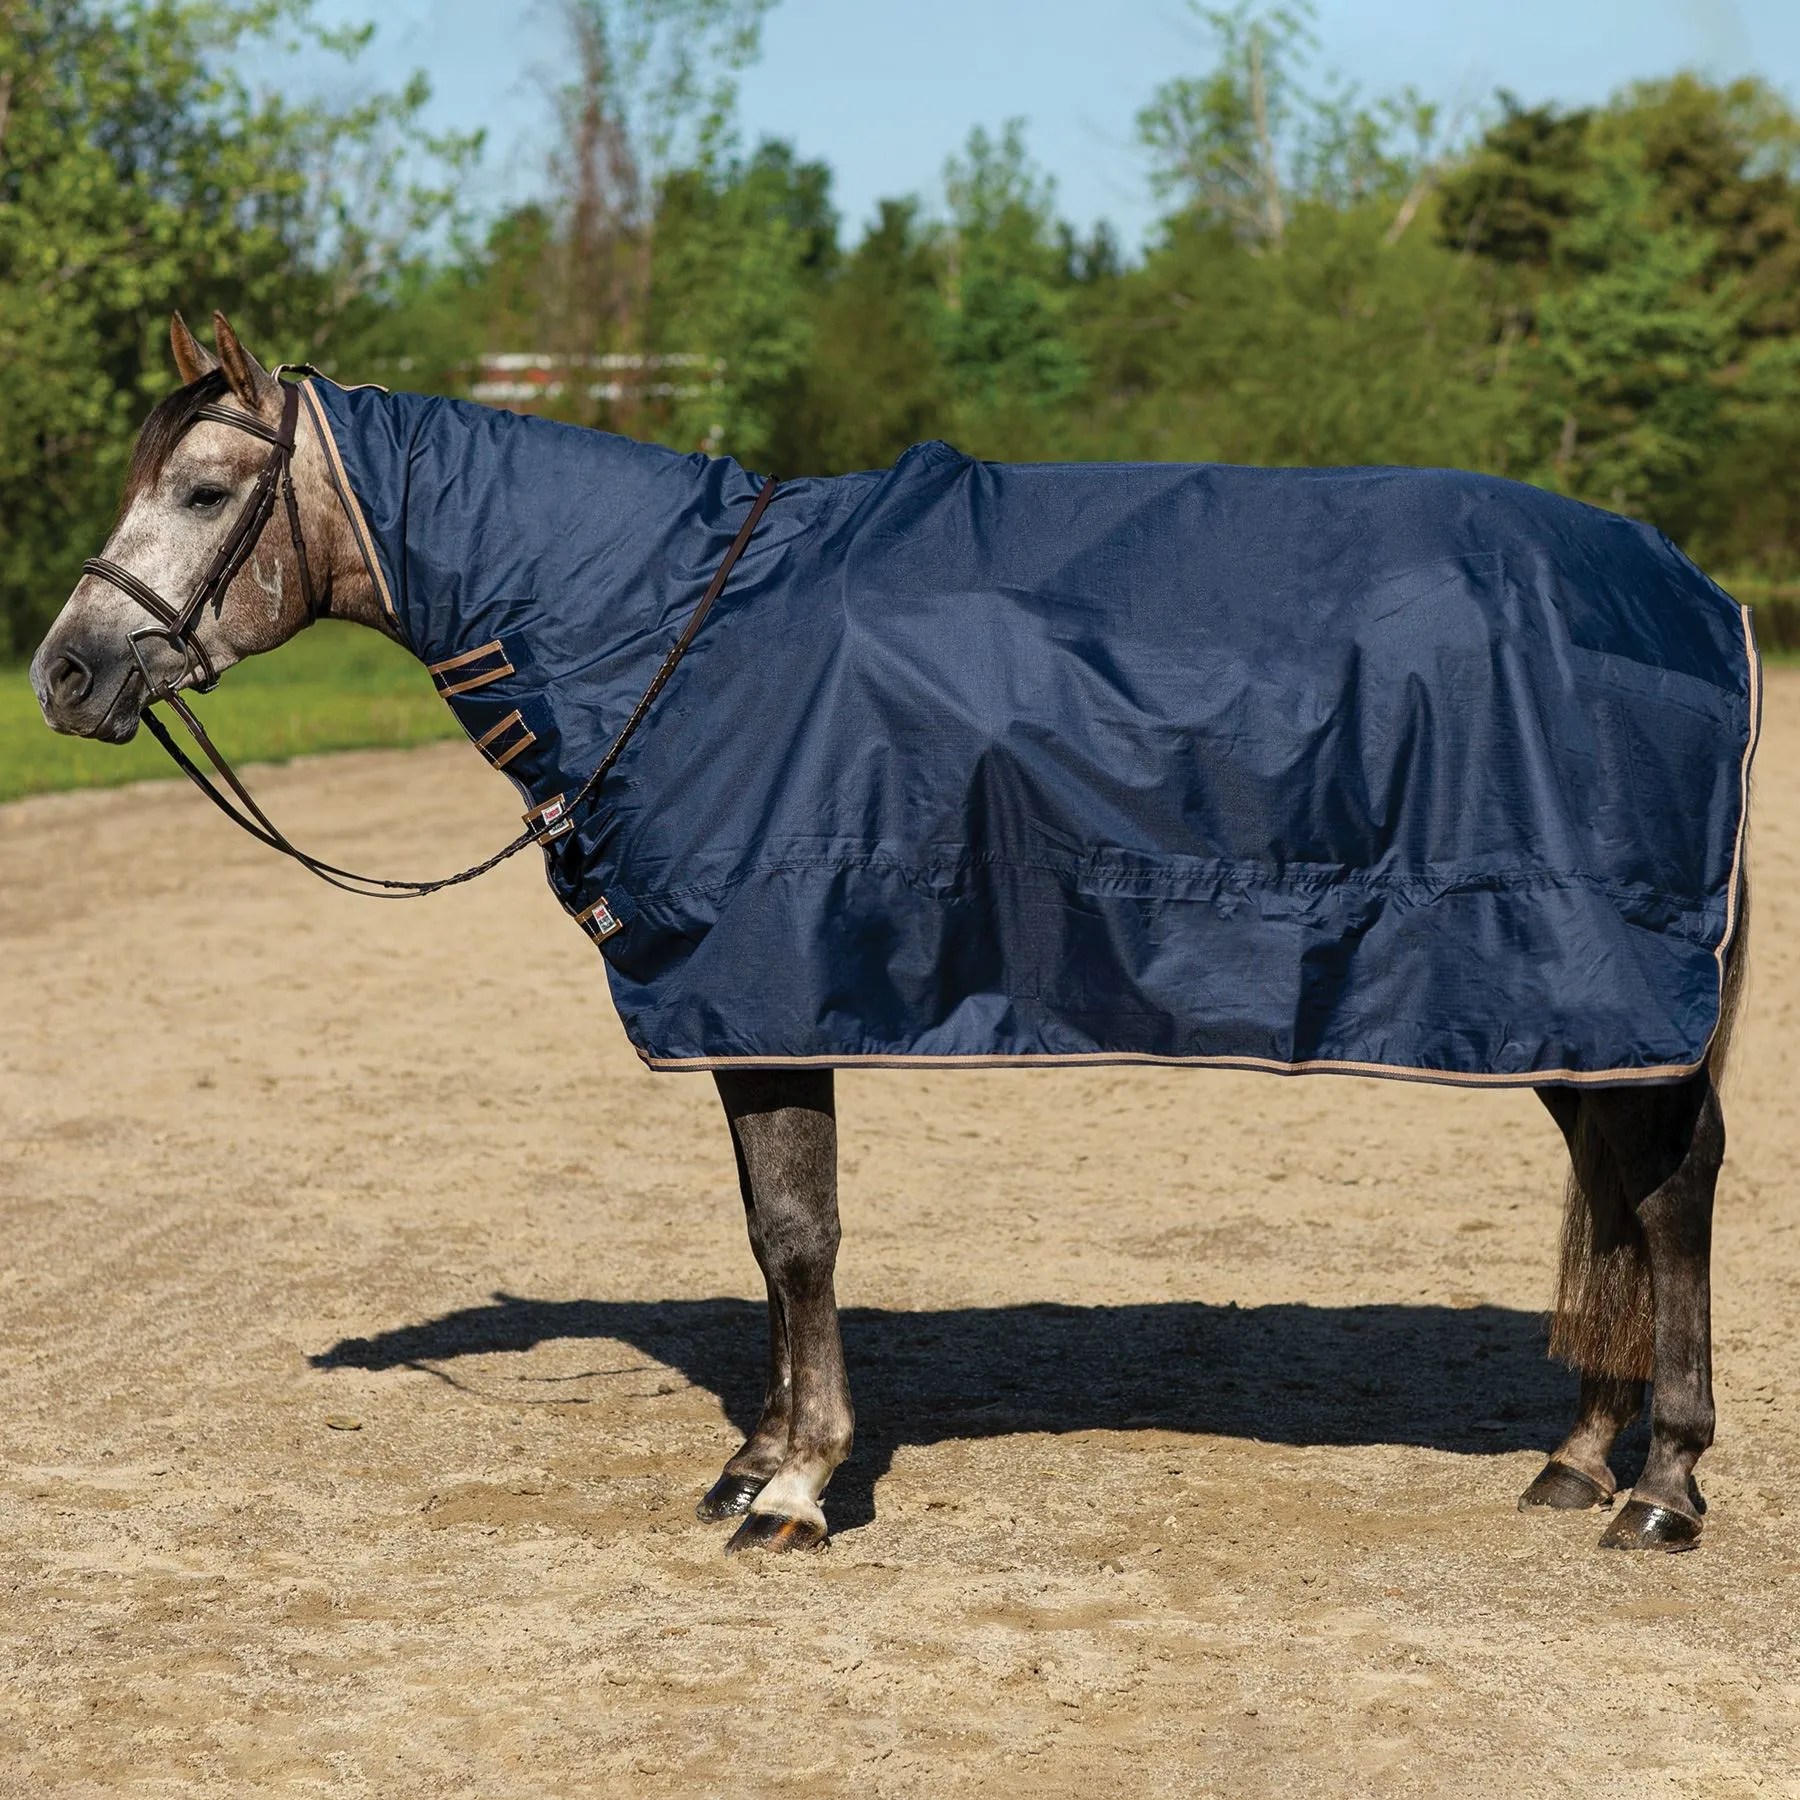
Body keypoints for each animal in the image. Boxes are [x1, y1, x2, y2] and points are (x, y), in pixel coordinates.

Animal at [30, 312, 1756, 1555]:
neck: (667, 627)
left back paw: (1664, 1487)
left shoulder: (776, 989)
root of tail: (1695, 593)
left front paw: (796, 1490)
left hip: (1598, 988)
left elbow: (801, 1234)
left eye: (202, 492)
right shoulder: (748, 1014)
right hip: (1566, 1018)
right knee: (1618, 1195)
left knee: (1670, 1200)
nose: (64, 673)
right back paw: (1573, 1462)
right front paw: (752, 1463)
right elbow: (763, 1235)